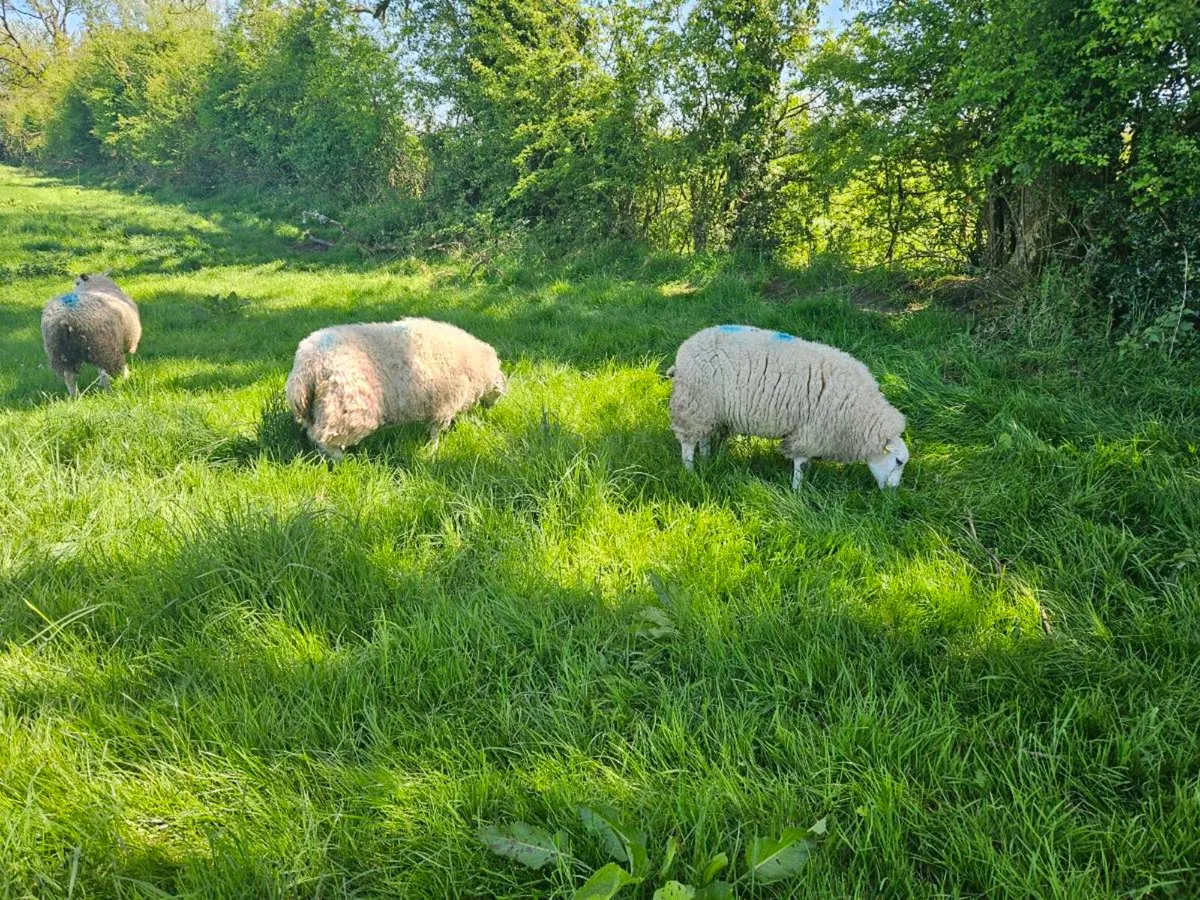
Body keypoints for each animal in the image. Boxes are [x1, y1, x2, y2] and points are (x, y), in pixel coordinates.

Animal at [285, 317, 507, 460]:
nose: (490, 409)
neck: (475, 365)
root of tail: (306, 365)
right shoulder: (444, 403)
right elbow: (435, 431)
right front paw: (433, 450)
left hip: (319, 408)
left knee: (313, 433)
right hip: (347, 409)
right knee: (324, 438)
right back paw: (344, 461)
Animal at [668, 324, 909, 490]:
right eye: (898, 461)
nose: (893, 493)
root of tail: (685, 348)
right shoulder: (809, 431)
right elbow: (800, 463)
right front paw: (797, 489)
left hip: (707, 409)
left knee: (704, 435)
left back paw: (707, 458)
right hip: (693, 404)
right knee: (688, 443)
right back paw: (690, 471)